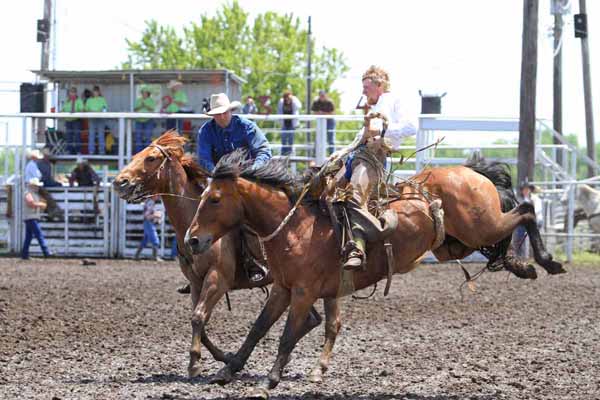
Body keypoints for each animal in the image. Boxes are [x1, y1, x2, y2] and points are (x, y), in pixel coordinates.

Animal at [111, 132, 338, 382]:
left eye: (151, 158)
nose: (119, 182)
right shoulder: (195, 282)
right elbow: (199, 322)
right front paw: (225, 357)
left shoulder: (217, 278)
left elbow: (198, 316)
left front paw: (195, 364)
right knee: (312, 320)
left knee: (329, 323)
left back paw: (318, 368)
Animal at [185, 151, 564, 396]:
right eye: (202, 196)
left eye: (214, 199)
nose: (192, 239)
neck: (296, 225)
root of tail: (470, 172)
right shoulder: (282, 288)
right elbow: (257, 330)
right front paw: (225, 370)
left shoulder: (304, 292)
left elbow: (286, 336)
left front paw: (269, 380)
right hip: (458, 242)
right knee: (510, 228)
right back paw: (522, 266)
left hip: (482, 225)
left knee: (526, 209)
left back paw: (547, 261)